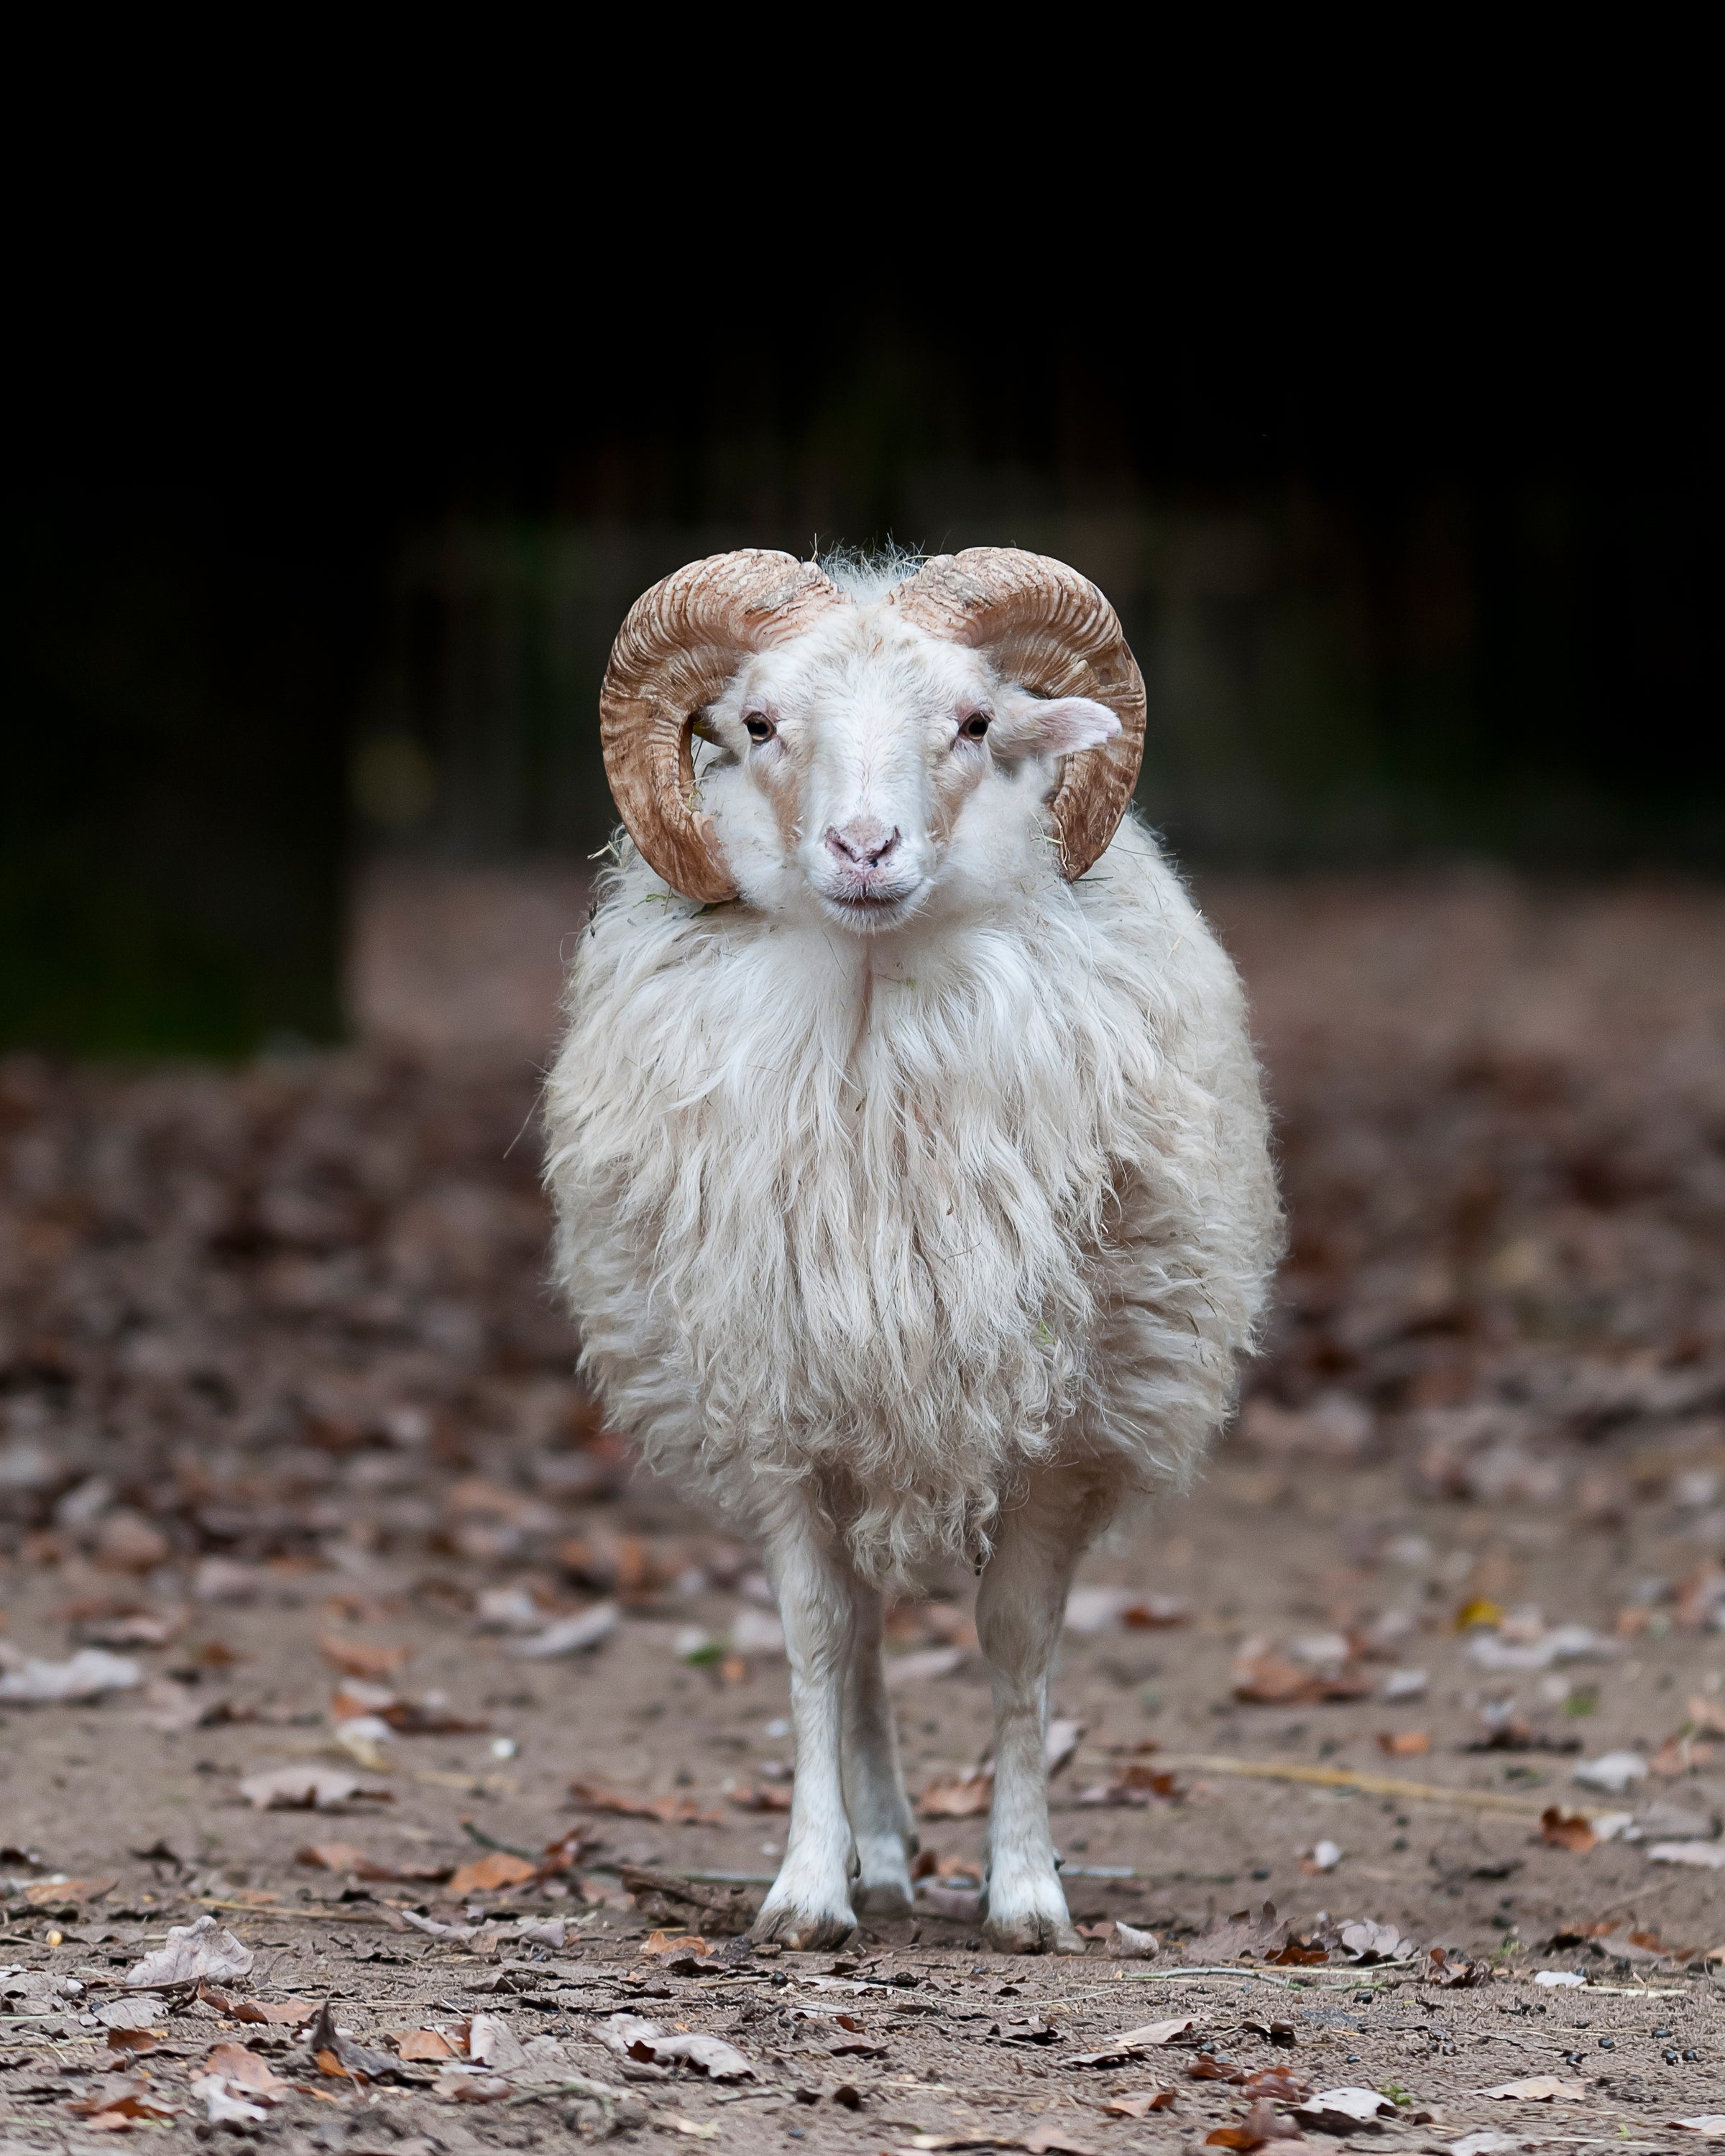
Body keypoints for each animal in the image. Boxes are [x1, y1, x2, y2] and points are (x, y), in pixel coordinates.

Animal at [546, 552, 1276, 1958]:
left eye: (978, 724)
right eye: (759, 723)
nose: (864, 850)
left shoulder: (1064, 1417)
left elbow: (1016, 1640)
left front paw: (1027, 1891)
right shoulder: (774, 1396)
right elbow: (817, 1639)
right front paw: (806, 1889)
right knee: (866, 1633)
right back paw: (876, 1858)